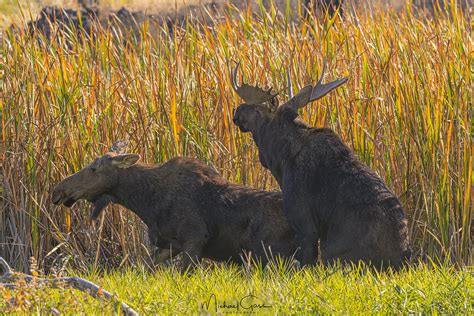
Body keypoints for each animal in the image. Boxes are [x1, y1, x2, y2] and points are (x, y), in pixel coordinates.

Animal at [51, 152, 296, 270]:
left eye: (93, 168)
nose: (58, 190)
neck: (145, 202)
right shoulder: (171, 244)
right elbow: (143, 268)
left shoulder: (195, 238)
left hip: (271, 254)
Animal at [231, 62, 410, 270]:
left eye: (257, 110)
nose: (236, 112)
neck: (279, 160)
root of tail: (402, 259)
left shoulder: (302, 219)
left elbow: (305, 261)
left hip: (334, 252)